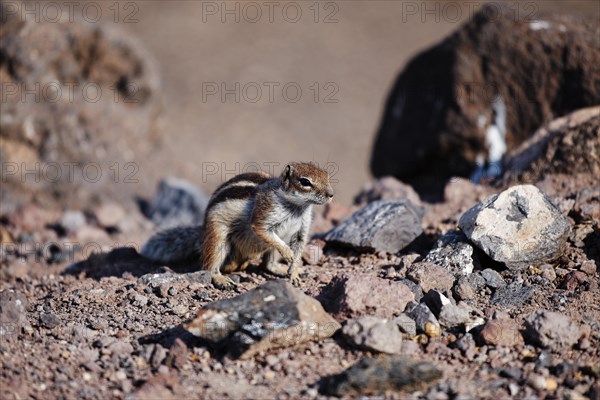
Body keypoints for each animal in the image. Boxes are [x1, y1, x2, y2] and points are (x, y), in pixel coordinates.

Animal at [142, 161, 336, 290]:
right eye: (305, 182)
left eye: (327, 176)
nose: (331, 194)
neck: (296, 207)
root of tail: (203, 230)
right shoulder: (264, 213)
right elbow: (261, 229)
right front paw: (288, 253)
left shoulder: (303, 227)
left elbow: (300, 245)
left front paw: (294, 271)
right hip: (217, 235)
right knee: (209, 265)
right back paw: (220, 279)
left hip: (270, 245)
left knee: (268, 264)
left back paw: (279, 269)